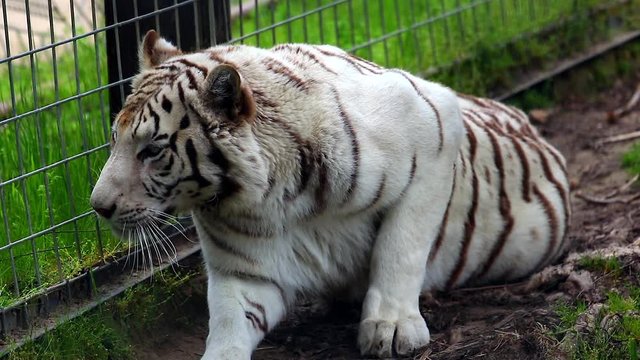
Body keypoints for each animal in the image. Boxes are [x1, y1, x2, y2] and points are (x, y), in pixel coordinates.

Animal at [90, 30, 568, 358]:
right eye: (114, 140)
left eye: (151, 150)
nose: (98, 206)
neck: (274, 197)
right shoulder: (244, 271)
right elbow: (227, 320)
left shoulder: (433, 127)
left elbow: (401, 248)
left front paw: (391, 328)